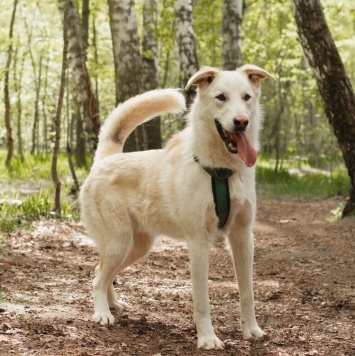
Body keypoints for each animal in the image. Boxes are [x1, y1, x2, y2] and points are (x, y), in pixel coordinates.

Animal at [80, 64, 276, 350]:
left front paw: (251, 330)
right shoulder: (198, 243)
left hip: (135, 247)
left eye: (247, 97)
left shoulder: (242, 238)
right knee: (97, 277)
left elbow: (247, 293)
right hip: (119, 243)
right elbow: (202, 301)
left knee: (102, 272)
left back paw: (113, 305)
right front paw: (207, 338)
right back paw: (102, 313)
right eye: (221, 97)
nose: (241, 121)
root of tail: (107, 159)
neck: (222, 172)